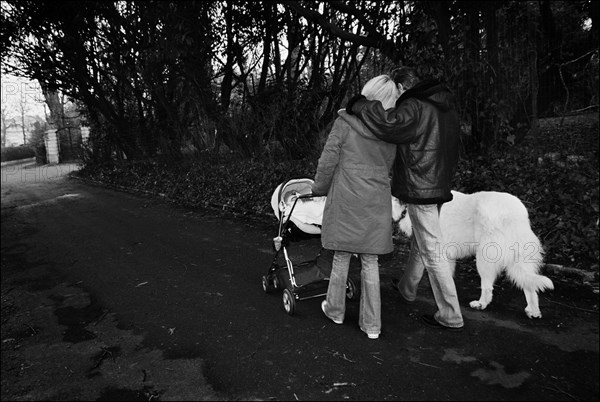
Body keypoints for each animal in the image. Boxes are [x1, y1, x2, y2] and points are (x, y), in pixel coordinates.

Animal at [392, 190, 556, 318]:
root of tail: (515, 216)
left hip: (484, 259)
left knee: (488, 287)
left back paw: (481, 304)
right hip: (520, 260)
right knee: (530, 286)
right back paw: (533, 311)